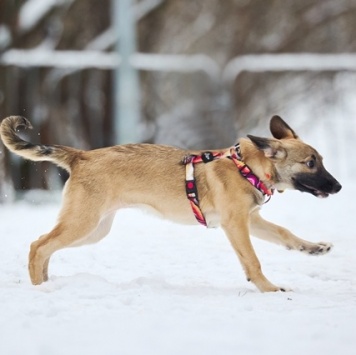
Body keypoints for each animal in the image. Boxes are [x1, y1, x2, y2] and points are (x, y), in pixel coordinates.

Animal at [0, 115, 342, 294]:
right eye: (311, 163)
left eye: (321, 160)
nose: (339, 187)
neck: (247, 167)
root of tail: (81, 156)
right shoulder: (235, 224)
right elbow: (253, 261)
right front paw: (269, 289)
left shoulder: (251, 220)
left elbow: (285, 233)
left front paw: (313, 248)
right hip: (83, 223)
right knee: (38, 245)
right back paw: (38, 288)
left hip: (94, 229)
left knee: (45, 245)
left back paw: (45, 283)